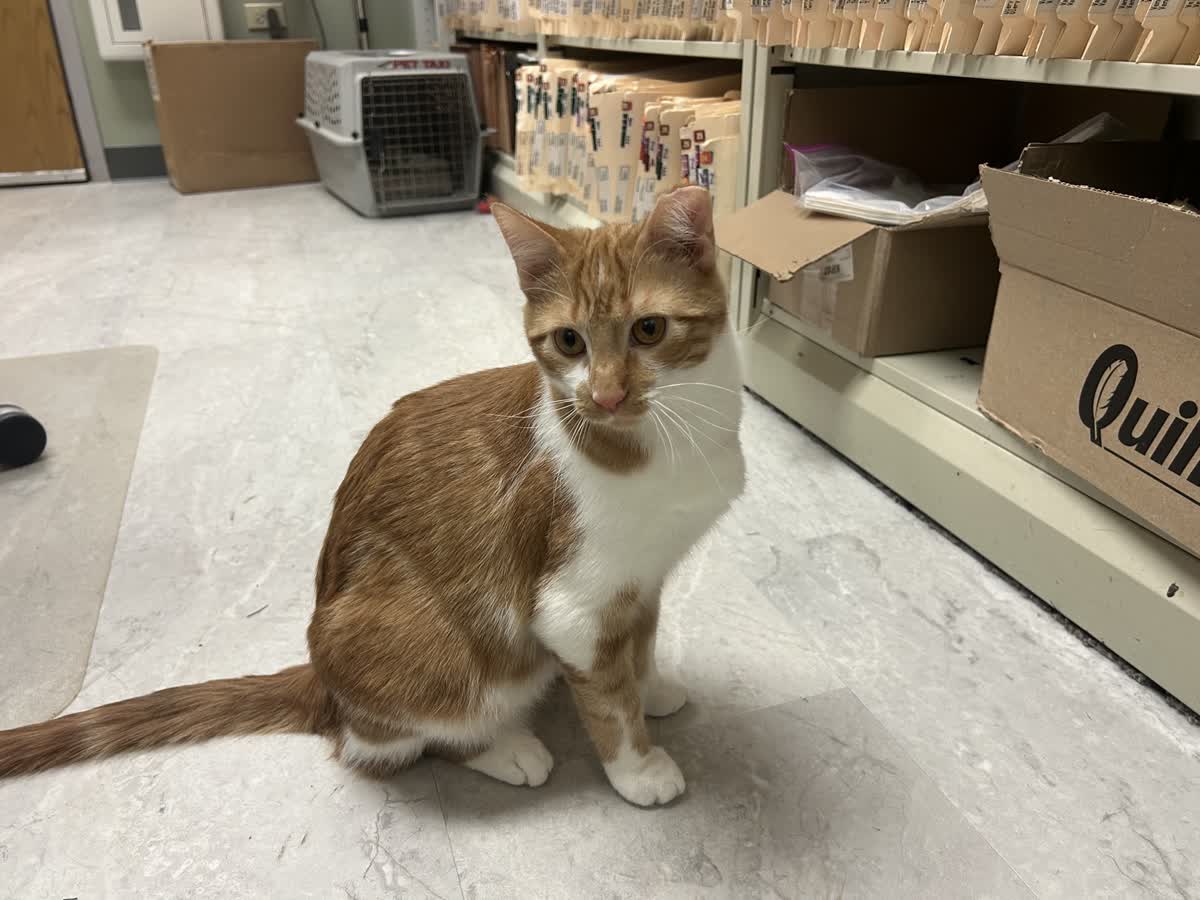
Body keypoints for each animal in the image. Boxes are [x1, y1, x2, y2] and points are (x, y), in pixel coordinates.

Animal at [0, 186, 745, 807]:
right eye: (569, 341)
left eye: (649, 329)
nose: (606, 396)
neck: (668, 441)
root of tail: (320, 681)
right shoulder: (574, 607)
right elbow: (608, 701)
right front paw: (638, 766)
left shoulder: (644, 578)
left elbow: (640, 645)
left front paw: (653, 687)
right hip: (429, 653)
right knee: (390, 743)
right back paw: (506, 750)